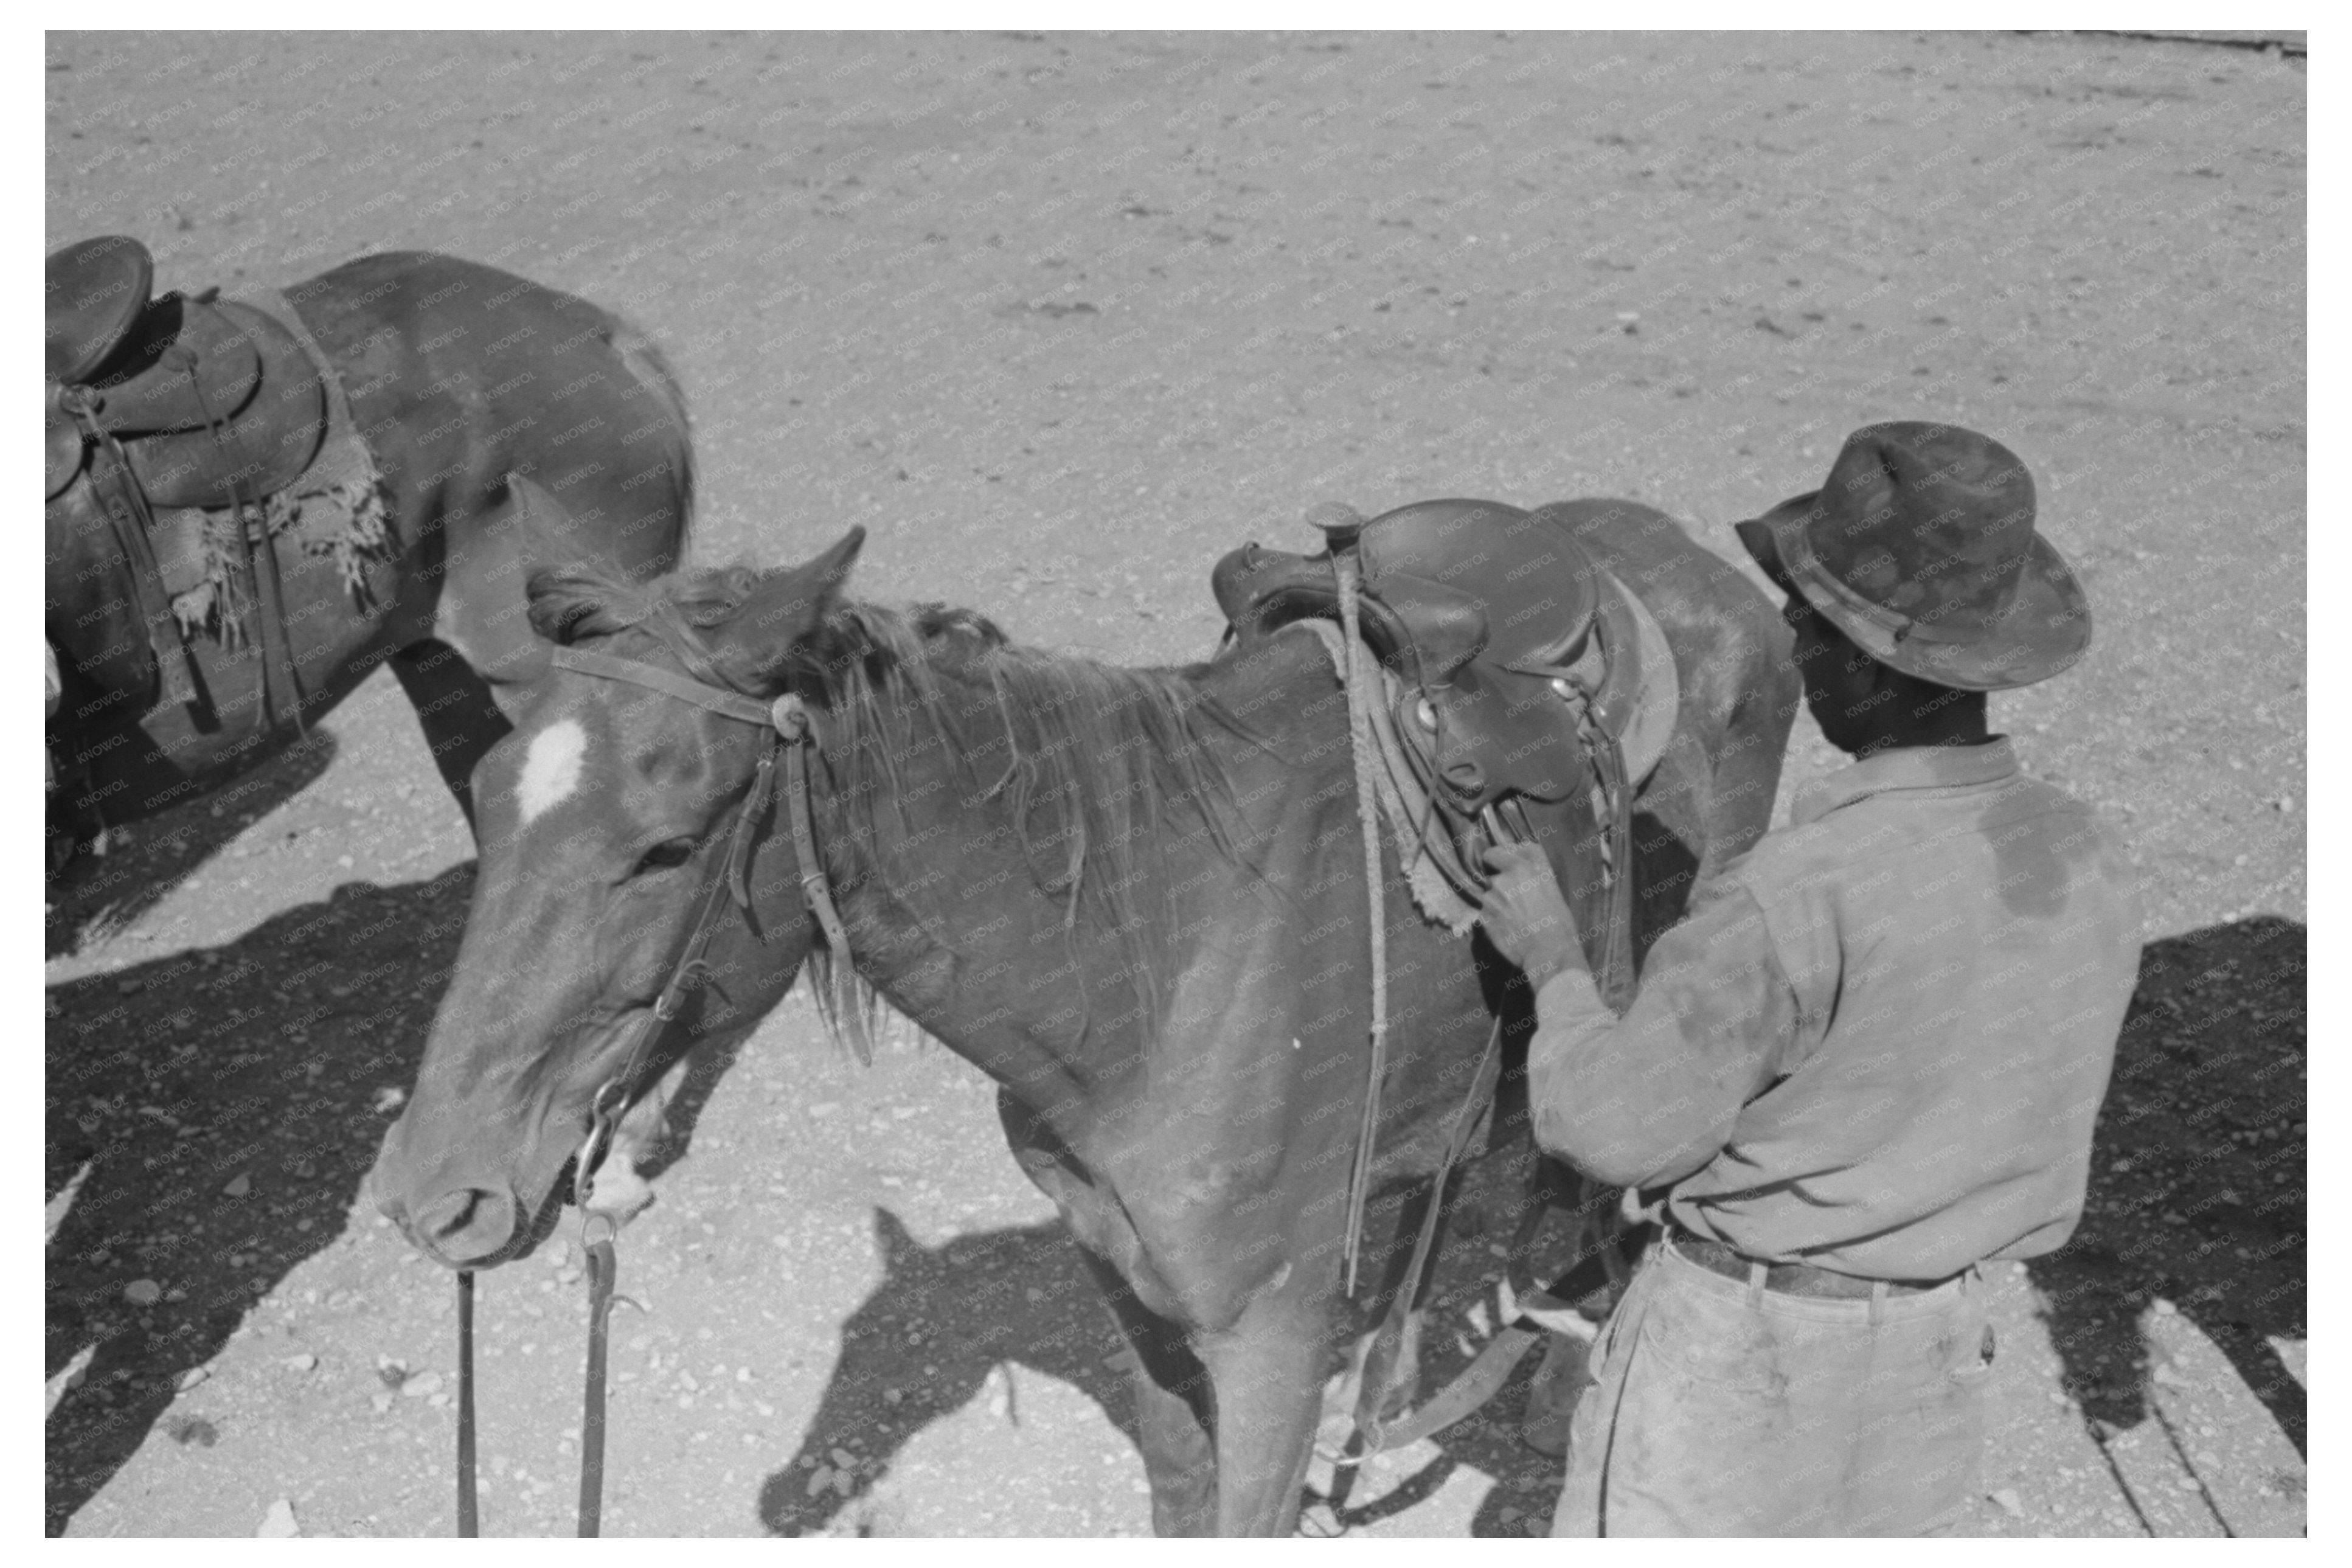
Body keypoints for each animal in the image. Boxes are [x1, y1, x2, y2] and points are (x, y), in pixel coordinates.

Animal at [371, 501, 1797, 1533]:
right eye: (485, 797)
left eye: (665, 847)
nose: (438, 1193)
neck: (1151, 976)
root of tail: (1697, 573)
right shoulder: (1124, 1282)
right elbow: (1176, 1486)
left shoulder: (1268, 1339)